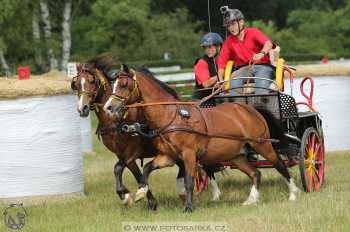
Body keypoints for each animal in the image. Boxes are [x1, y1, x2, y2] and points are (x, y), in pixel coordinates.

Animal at [104, 65, 300, 212]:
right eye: (112, 85)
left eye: (123, 84)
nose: (108, 107)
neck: (171, 116)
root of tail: (250, 108)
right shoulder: (168, 156)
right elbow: (147, 169)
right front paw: (140, 192)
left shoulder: (189, 155)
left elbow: (189, 181)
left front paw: (189, 207)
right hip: (236, 155)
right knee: (255, 173)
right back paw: (251, 199)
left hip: (262, 145)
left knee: (279, 165)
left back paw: (293, 193)